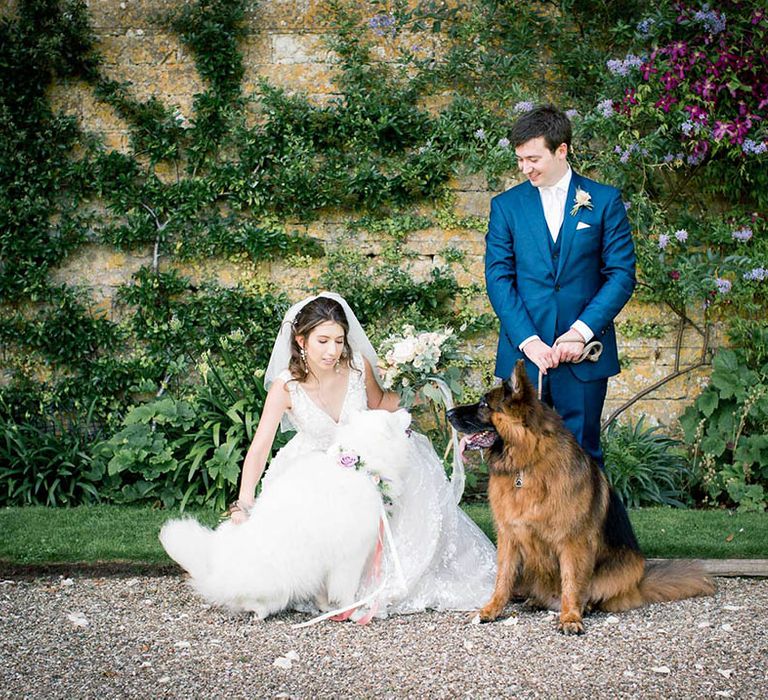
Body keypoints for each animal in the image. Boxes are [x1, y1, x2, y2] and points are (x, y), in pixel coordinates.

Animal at [158, 410, 414, 616]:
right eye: (393, 416)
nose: (406, 409)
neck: (361, 465)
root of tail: (214, 576)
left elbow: (324, 589)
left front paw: (326, 608)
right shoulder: (351, 556)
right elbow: (346, 590)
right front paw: (352, 612)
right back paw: (259, 610)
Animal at [444, 360, 712, 636]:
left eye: (484, 404)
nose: (448, 414)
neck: (526, 465)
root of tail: (639, 584)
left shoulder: (572, 541)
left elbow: (572, 581)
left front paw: (571, 617)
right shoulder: (509, 536)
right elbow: (503, 578)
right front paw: (491, 609)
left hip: (627, 567)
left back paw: (584, 606)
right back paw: (536, 600)